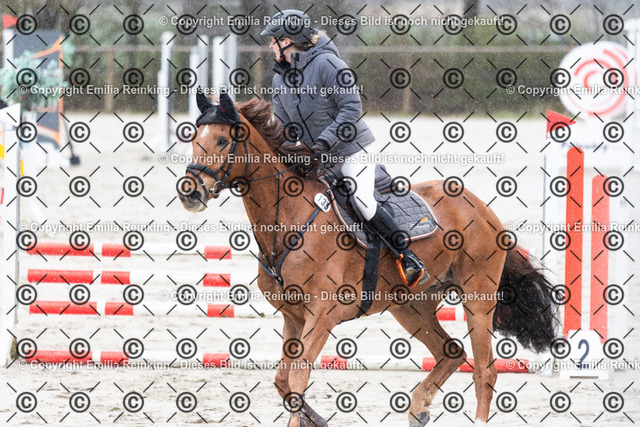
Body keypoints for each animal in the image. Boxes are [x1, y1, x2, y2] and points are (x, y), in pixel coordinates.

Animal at [178, 92, 559, 427]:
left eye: (223, 141)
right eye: (194, 138)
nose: (189, 193)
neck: (288, 218)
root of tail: (479, 206)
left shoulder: (322, 315)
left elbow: (297, 381)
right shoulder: (293, 317)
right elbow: (284, 383)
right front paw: (317, 420)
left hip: (477, 297)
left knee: (484, 368)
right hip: (410, 306)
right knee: (451, 351)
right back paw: (418, 409)